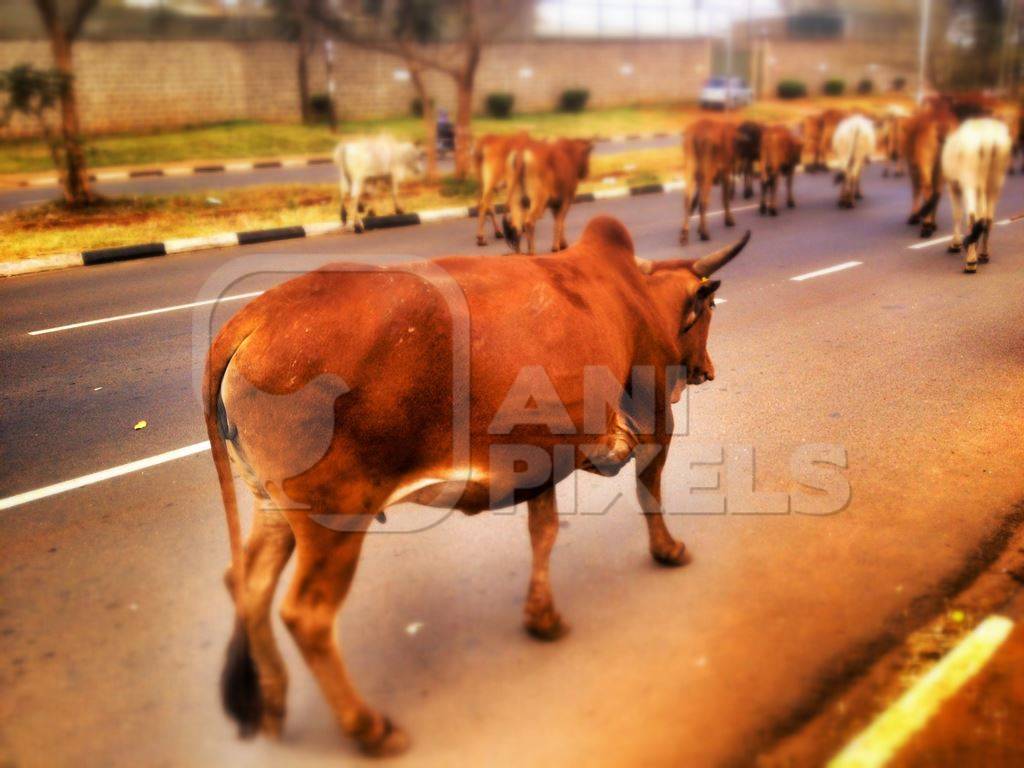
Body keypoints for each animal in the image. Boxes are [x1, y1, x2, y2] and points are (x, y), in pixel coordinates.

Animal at [205, 217, 753, 757]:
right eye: (707, 309)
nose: (708, 370)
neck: (634, 291)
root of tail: (249, 321)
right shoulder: (655, 421)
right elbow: (648, 492)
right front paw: (668, 550)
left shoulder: (543, 456)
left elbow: (544, 532)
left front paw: (542, 617)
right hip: (334, 518)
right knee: (307, 615)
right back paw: (369, 727)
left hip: (273, 505)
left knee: (248, 583)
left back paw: (273, 704)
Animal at [905, 102, 958, 237]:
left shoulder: (913, 167)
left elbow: (916, 190)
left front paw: (914, 216)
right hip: (942, 168)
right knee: (936, 191)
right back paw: (930, 224)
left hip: (926, 164)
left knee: (928, 189)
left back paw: (926, 227)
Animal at [937, 117, 1011, 274]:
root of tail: (988, 140)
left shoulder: (953, 186)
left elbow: (957, 214)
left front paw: (955, 244)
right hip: (995, 183)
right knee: (987, 218)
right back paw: (983, 254)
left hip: (969, 182)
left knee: (972, 217)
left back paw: (971, 261)